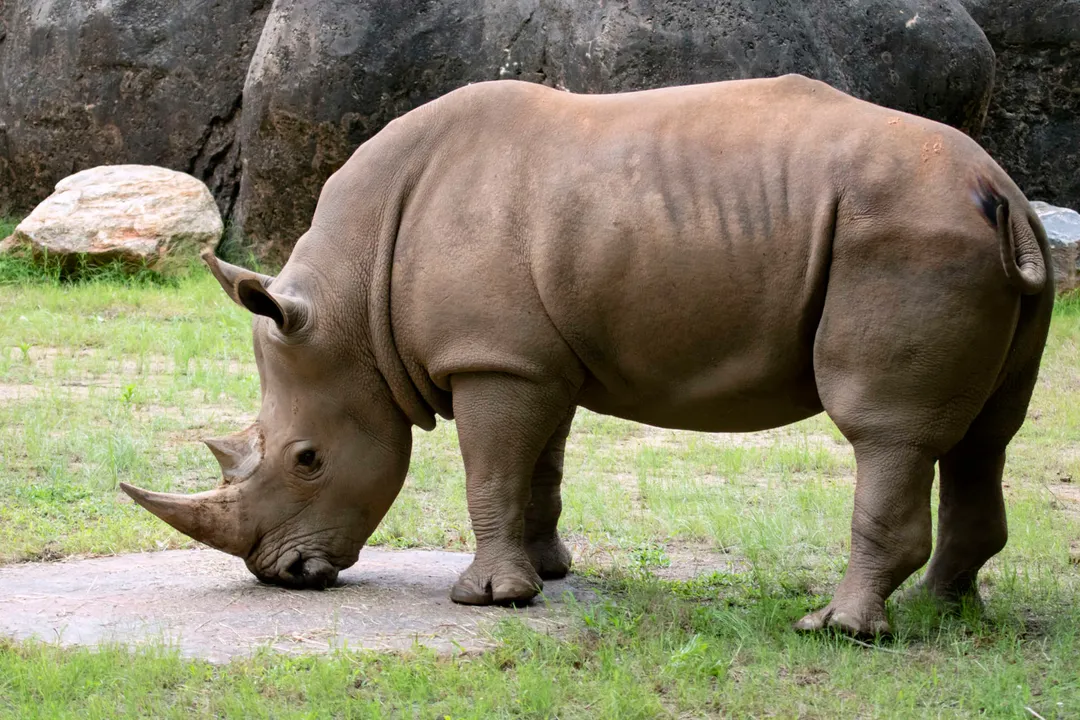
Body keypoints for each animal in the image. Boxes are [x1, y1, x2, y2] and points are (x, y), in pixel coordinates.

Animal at [121, 75, 1053, 637]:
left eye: (308, 459)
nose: (285, 576)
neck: (351, 309)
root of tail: (1000, 188)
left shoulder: (492, 359)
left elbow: (488, 471)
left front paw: (486, 600)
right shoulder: (531, 358)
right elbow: (537, 467)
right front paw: (544, 575)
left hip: (901, 238)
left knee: (886, 432)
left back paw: (838, 632)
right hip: (994, 244)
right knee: (986, 435)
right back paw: (946, 614)